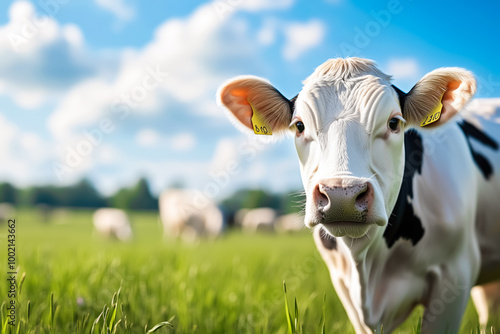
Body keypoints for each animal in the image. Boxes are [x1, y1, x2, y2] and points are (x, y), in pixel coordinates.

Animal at [218, 56, 500, 332]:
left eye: (394, 123)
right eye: (299, 126)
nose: (341, 196)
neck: (368, 266)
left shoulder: (456, 273)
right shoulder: (343, 285)